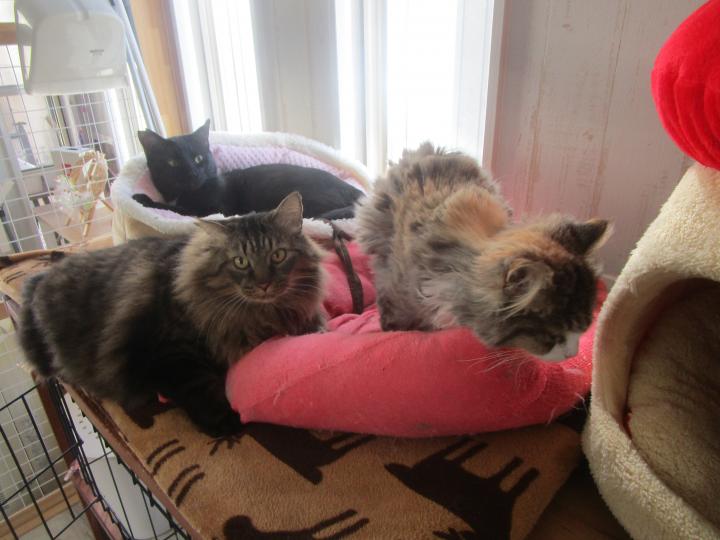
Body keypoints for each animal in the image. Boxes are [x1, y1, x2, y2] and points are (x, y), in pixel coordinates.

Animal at [19, 192, 326, 436]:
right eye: (240, 262)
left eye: (278, 255)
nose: (264, 284)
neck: (262, 314)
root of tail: (39, 279)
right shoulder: (163, 354)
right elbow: (199, 385)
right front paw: (224, 421)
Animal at [133, 120, 364, 220]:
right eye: (172, 163)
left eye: (198, 158)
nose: (192, 173)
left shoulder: (215, 210)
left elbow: (178, 210)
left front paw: (142, 199)